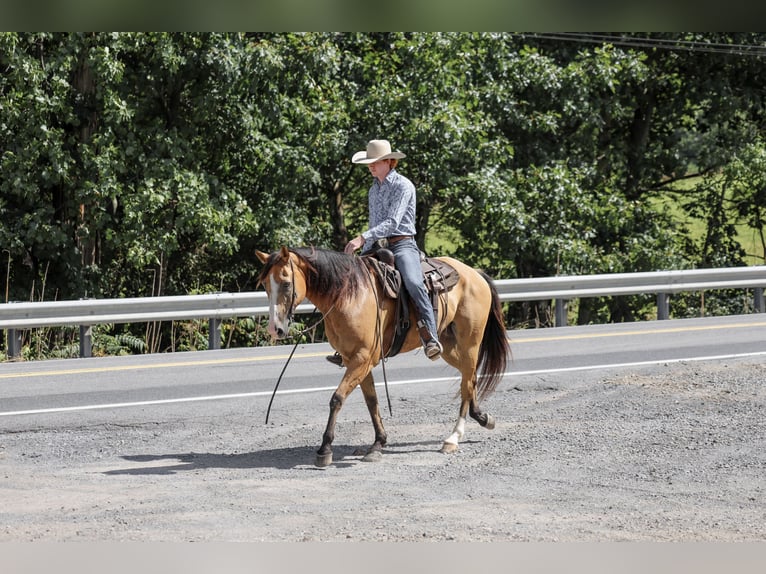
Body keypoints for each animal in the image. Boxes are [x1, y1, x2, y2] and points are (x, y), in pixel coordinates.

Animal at [255, 245, 510, 467]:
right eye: (266, 285)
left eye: (286, 283)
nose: (274, 330)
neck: (349, 295)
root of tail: (474, 273)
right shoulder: (356, 360)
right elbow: (372, 402)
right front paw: (378, 443)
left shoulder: (362, 359)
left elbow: (337, 399)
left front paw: (324, 449)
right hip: (448, 347)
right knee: (470, 377)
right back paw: (482, 417)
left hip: (470, 343)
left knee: (467, 383)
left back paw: (453, 437)